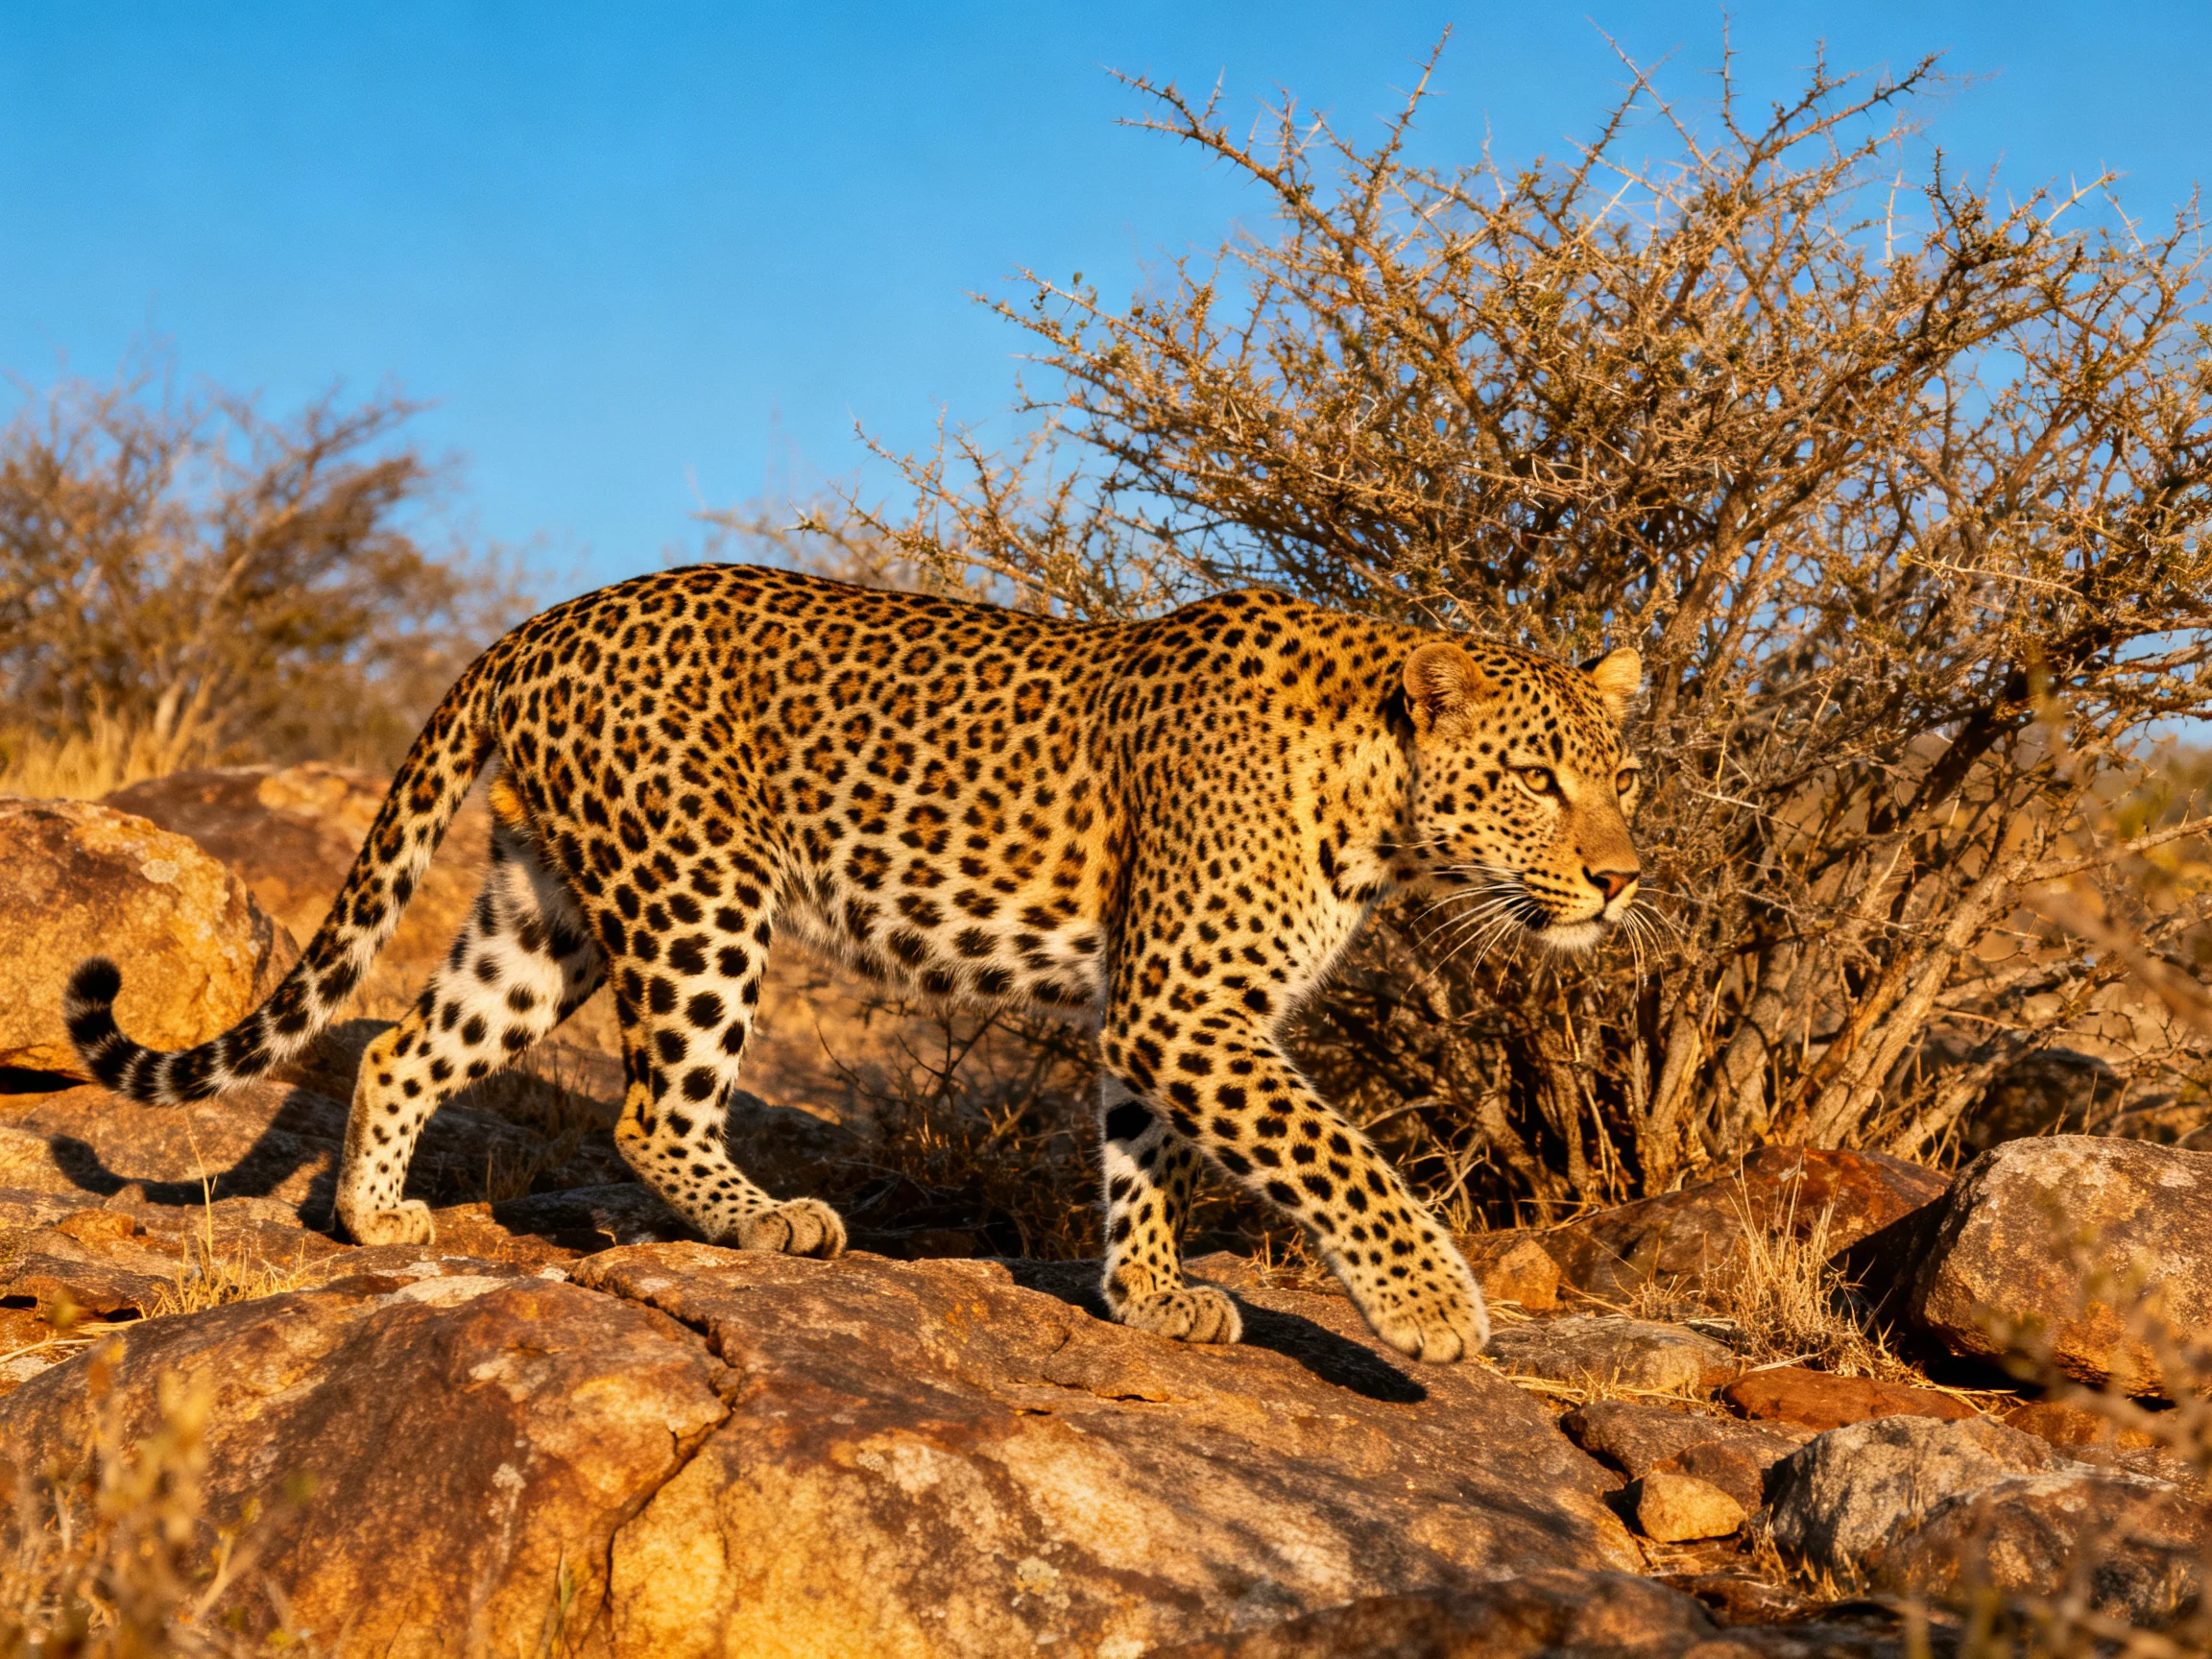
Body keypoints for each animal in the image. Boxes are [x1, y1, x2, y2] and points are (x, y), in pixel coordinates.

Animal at [64, 564, 1643, 1363]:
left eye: (1622, 778)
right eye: (1539, 782)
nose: (1625, 877)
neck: (1378, 803)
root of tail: (538, 622)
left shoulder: (1154, 1018)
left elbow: (1140, 1160)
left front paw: (1148, 1297)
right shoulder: (1188, 1007)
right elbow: (1340, 1159)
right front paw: (1434, 1310)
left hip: (546, 908)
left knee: (405, 1038)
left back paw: (377, 1218)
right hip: (701, 896)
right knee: (651, 1108)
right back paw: (770, 1222)